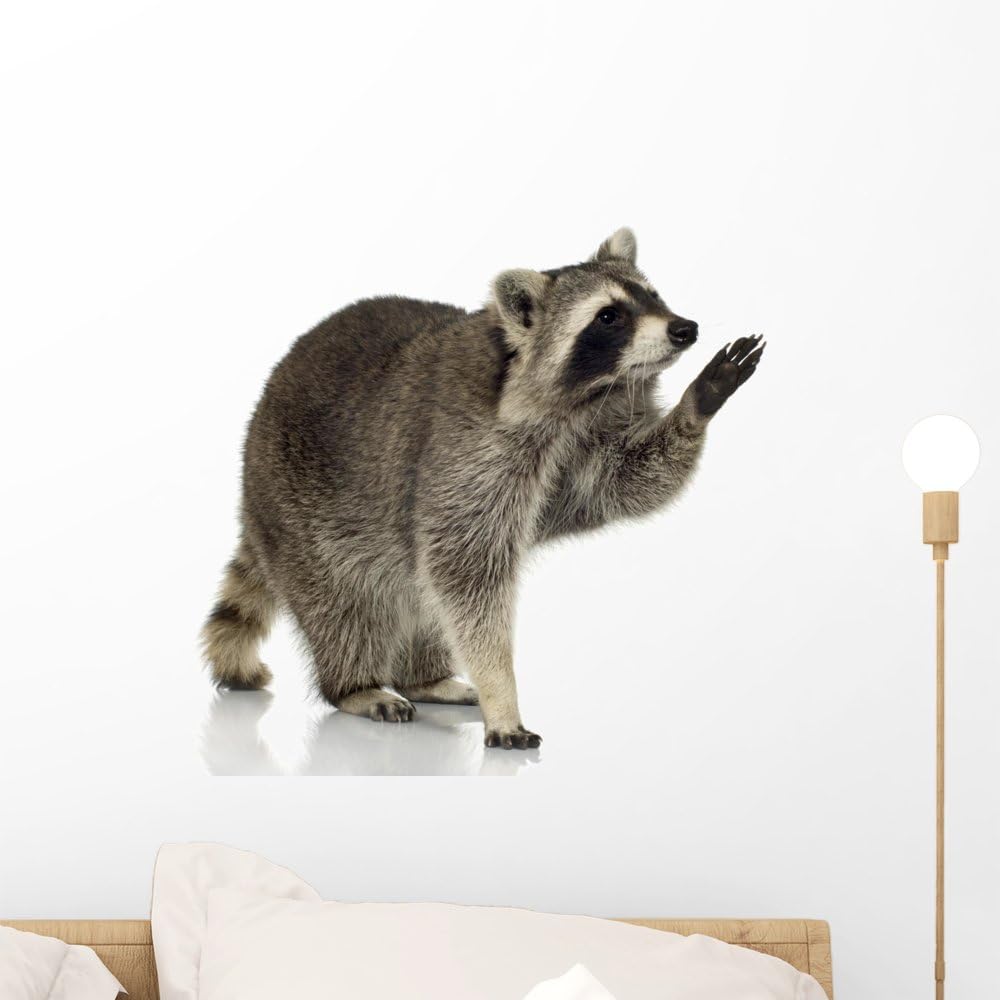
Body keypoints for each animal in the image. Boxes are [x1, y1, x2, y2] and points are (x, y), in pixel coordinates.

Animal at [201, 228, 764, 749]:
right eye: (609, 317)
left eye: (652, 295)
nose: (684, 329)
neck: (583, 400)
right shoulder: (465, 451)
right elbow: (467, 572)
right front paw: (502, 693)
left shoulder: (584, 443)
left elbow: (624, 483)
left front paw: (697, 403)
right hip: (298, 510)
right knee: (346, 603)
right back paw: (355, 684)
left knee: (418, 595)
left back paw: (423, 677)